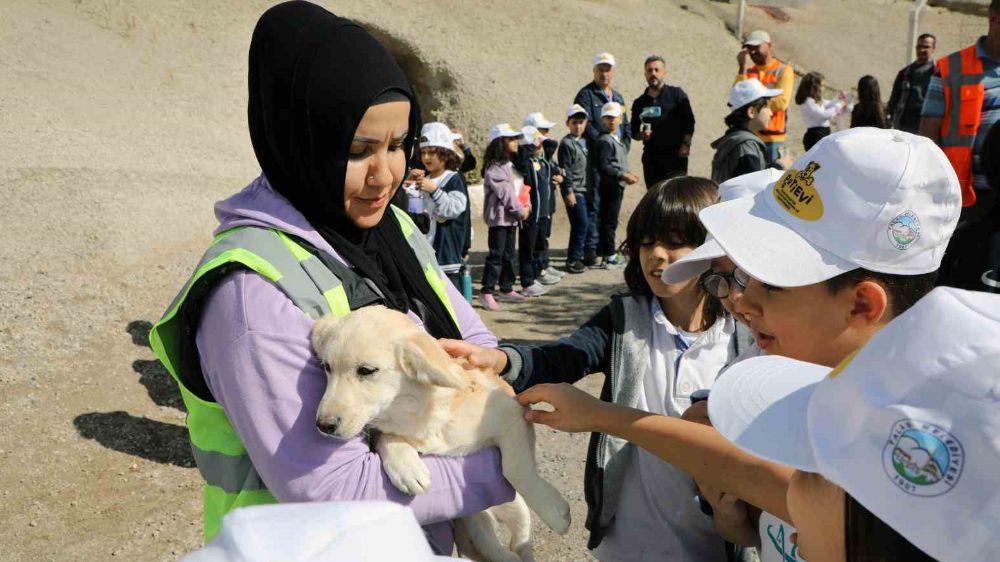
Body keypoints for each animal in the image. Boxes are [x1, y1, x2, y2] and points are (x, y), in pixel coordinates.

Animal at [312, 306, 572, 560]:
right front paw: (406, 469)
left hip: (517, 510)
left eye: (366, 370)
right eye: (327, 367)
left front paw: (554, 511)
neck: (416, 413)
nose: (323, 425)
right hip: (475, 523)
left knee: (521, 544)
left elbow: (515, 467)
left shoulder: (512, 414)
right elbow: (385, 436)